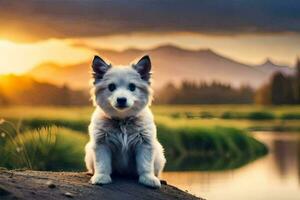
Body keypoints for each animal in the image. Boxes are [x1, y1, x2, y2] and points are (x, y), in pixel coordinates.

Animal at [84, 54, 166, 188]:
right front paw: (101, 177)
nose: (121, 99)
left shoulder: (145, 143)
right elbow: (102, 164)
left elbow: (145, 165)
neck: (122, 121)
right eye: (111, 87)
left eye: (132, 87)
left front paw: (148, 179)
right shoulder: (101, 144)